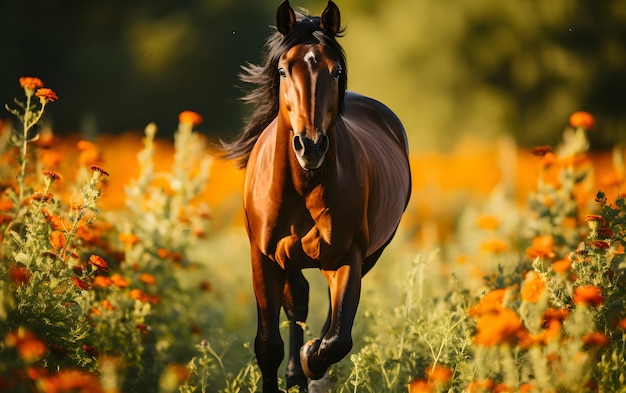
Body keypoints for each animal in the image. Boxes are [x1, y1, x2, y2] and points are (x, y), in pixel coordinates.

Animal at [219, 1, 410, 390]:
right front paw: (298, 367)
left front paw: (313, 361)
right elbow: (268, 346)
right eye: (282, 70)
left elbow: (337, 340)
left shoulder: (349, 258)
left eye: (336, 72)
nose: (310, 146)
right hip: (288, 259)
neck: (301, 188)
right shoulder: (264, 258)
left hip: (365, 256)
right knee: (298, 305)